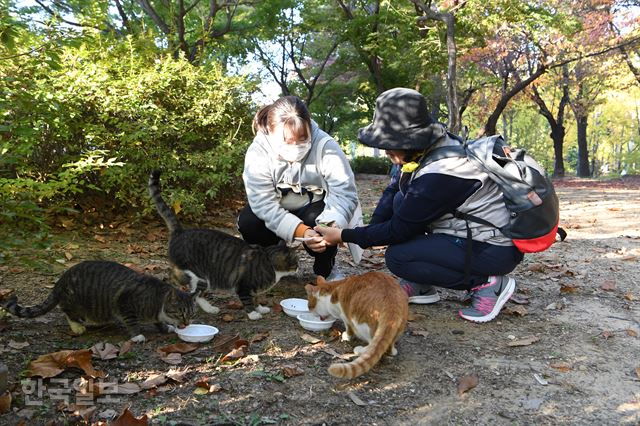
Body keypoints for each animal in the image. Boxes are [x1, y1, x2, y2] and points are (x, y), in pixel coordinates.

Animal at [1, 260, 198, 342]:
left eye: (191, 314)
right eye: (181, 313)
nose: (187, 323)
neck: (157, 299)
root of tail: (61, 280)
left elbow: (158, 322)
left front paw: (165, 327)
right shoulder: (125, 302)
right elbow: (132, 322)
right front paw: (137, 335)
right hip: (76, 301)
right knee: (67, 311)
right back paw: (77, 326)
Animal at [150, 170, 300, 320]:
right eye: (296, 261)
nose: (299, 268)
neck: (269, 262)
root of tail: (180, 231)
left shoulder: (254, 290)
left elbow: (256, 297)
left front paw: (260, 308)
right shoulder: (243, 286)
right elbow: (248, 300)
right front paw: (253, 314)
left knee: (195, 293)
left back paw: (208, 308)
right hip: (199, 275)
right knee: (176, 278)